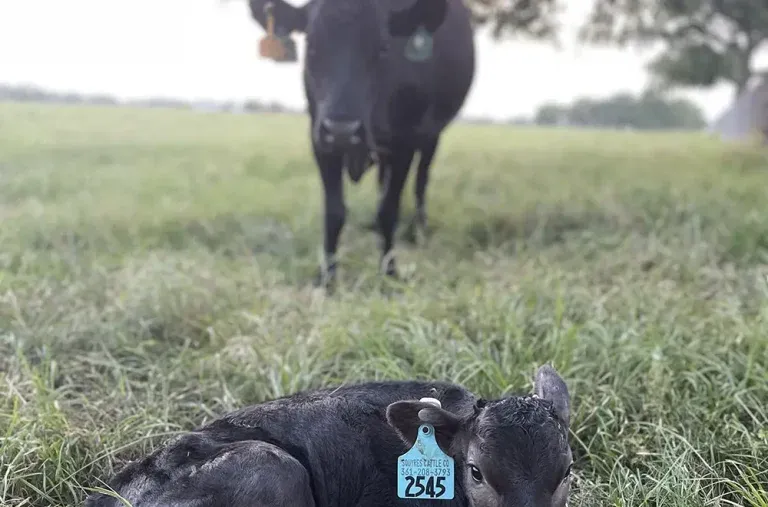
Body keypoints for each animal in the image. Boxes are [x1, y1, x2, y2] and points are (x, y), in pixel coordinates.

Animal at [248, 0, 475, 286]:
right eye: (311, 45)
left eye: (384, 47)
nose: (342, 130)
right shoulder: (320, 139)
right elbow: (334, 212)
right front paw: (327, 278)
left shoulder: (406, 141)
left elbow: (389, 209)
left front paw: (389, 273)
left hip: (432, 136)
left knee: (421, 180)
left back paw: (419, 228)